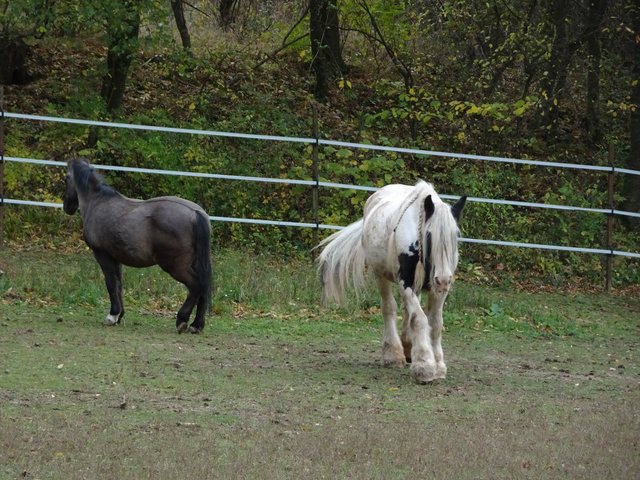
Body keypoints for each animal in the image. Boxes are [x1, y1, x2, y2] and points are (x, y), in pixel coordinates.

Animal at [65, 159, 215, 332]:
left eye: (65, 179)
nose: (67, 207)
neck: (98, 202)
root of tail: (195, 213)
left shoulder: (102, 255)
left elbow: (110, 283)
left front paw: (112, 316)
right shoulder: (116, 258)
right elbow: (118, 285)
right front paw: (119, 315)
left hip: (176, 267)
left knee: (196, 286)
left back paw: (182, 320)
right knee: (203, 287)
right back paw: (197, 325)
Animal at [318, 182, 468, 384]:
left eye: (455, 235)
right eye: (429, 235)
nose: (443, 280)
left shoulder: (438, 290)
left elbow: (435, 323)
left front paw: (438, 365)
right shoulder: (406, 282)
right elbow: (419, 319)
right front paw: (425, 366)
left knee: (407, 311)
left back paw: (408, 348)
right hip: (380, 276)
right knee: (389, 308)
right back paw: (393, 354)